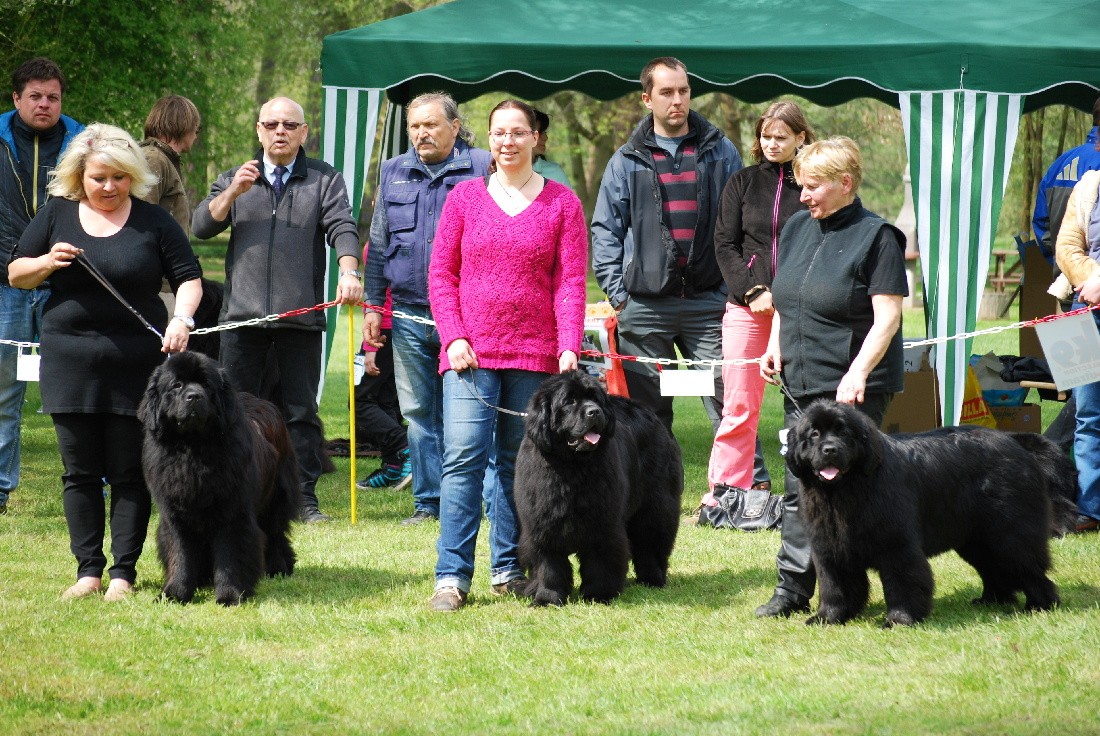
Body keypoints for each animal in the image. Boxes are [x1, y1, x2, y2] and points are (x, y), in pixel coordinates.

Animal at [138, 351, 301, 605]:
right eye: (177, 385)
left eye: (206, 385)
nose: (194, 397)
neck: (193, 450)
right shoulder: (175, 515)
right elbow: (179, 553)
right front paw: (175, 593)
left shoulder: (233, 513)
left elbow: (230, 556)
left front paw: (230, 595)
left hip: (276, 498)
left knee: (275, 533)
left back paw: (279, 567)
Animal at [514, 370, 683, 605]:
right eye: (569, 401)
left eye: (595, 399)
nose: (594, 412)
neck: (571, 467)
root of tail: (649, 412)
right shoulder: (543, 525)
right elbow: (549, 566)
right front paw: (548, 598)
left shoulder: (603, 522)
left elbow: (600, 560)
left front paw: (598, 594)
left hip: (656, 505)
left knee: (651, 541)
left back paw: (652, 579)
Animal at [786, 399, 1074, 626]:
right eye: (814, 434)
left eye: (844, 432)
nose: (830, 450)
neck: (844, 491)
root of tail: (1015, 441)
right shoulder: (830, 548)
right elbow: (835, 587)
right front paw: (827, 618)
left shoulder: (898, 546)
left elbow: (902, 582)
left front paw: (900, 620)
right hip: (977, 540)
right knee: (994, 568)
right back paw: (992, 600)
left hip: (1009, 535)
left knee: (1030, 568)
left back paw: (1039, 605)